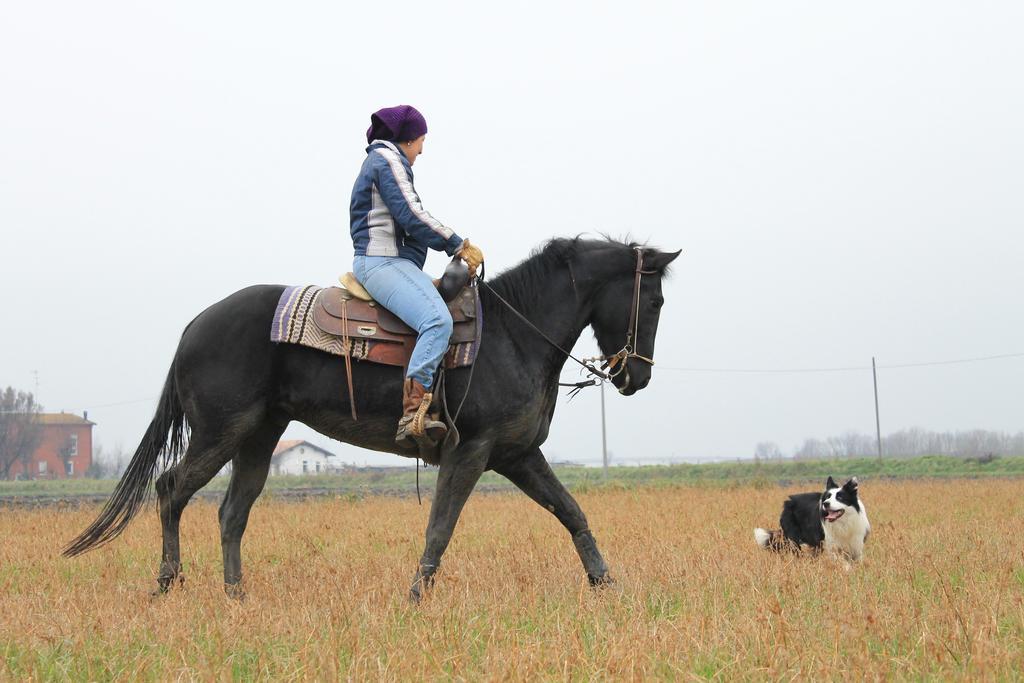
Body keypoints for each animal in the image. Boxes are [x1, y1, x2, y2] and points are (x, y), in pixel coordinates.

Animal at [70, 239, 679, 598]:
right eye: (654, 303)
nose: (637, 377)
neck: (514, 335)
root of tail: (196, 324)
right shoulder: (471, 450)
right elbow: (441, 525)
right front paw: (415, 597)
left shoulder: (517, 453)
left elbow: (571, 512)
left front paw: (606, 585)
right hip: (221, 431)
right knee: (171, 489)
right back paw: (167, 583)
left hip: (258, 437)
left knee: (231, 512)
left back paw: (236, 595)